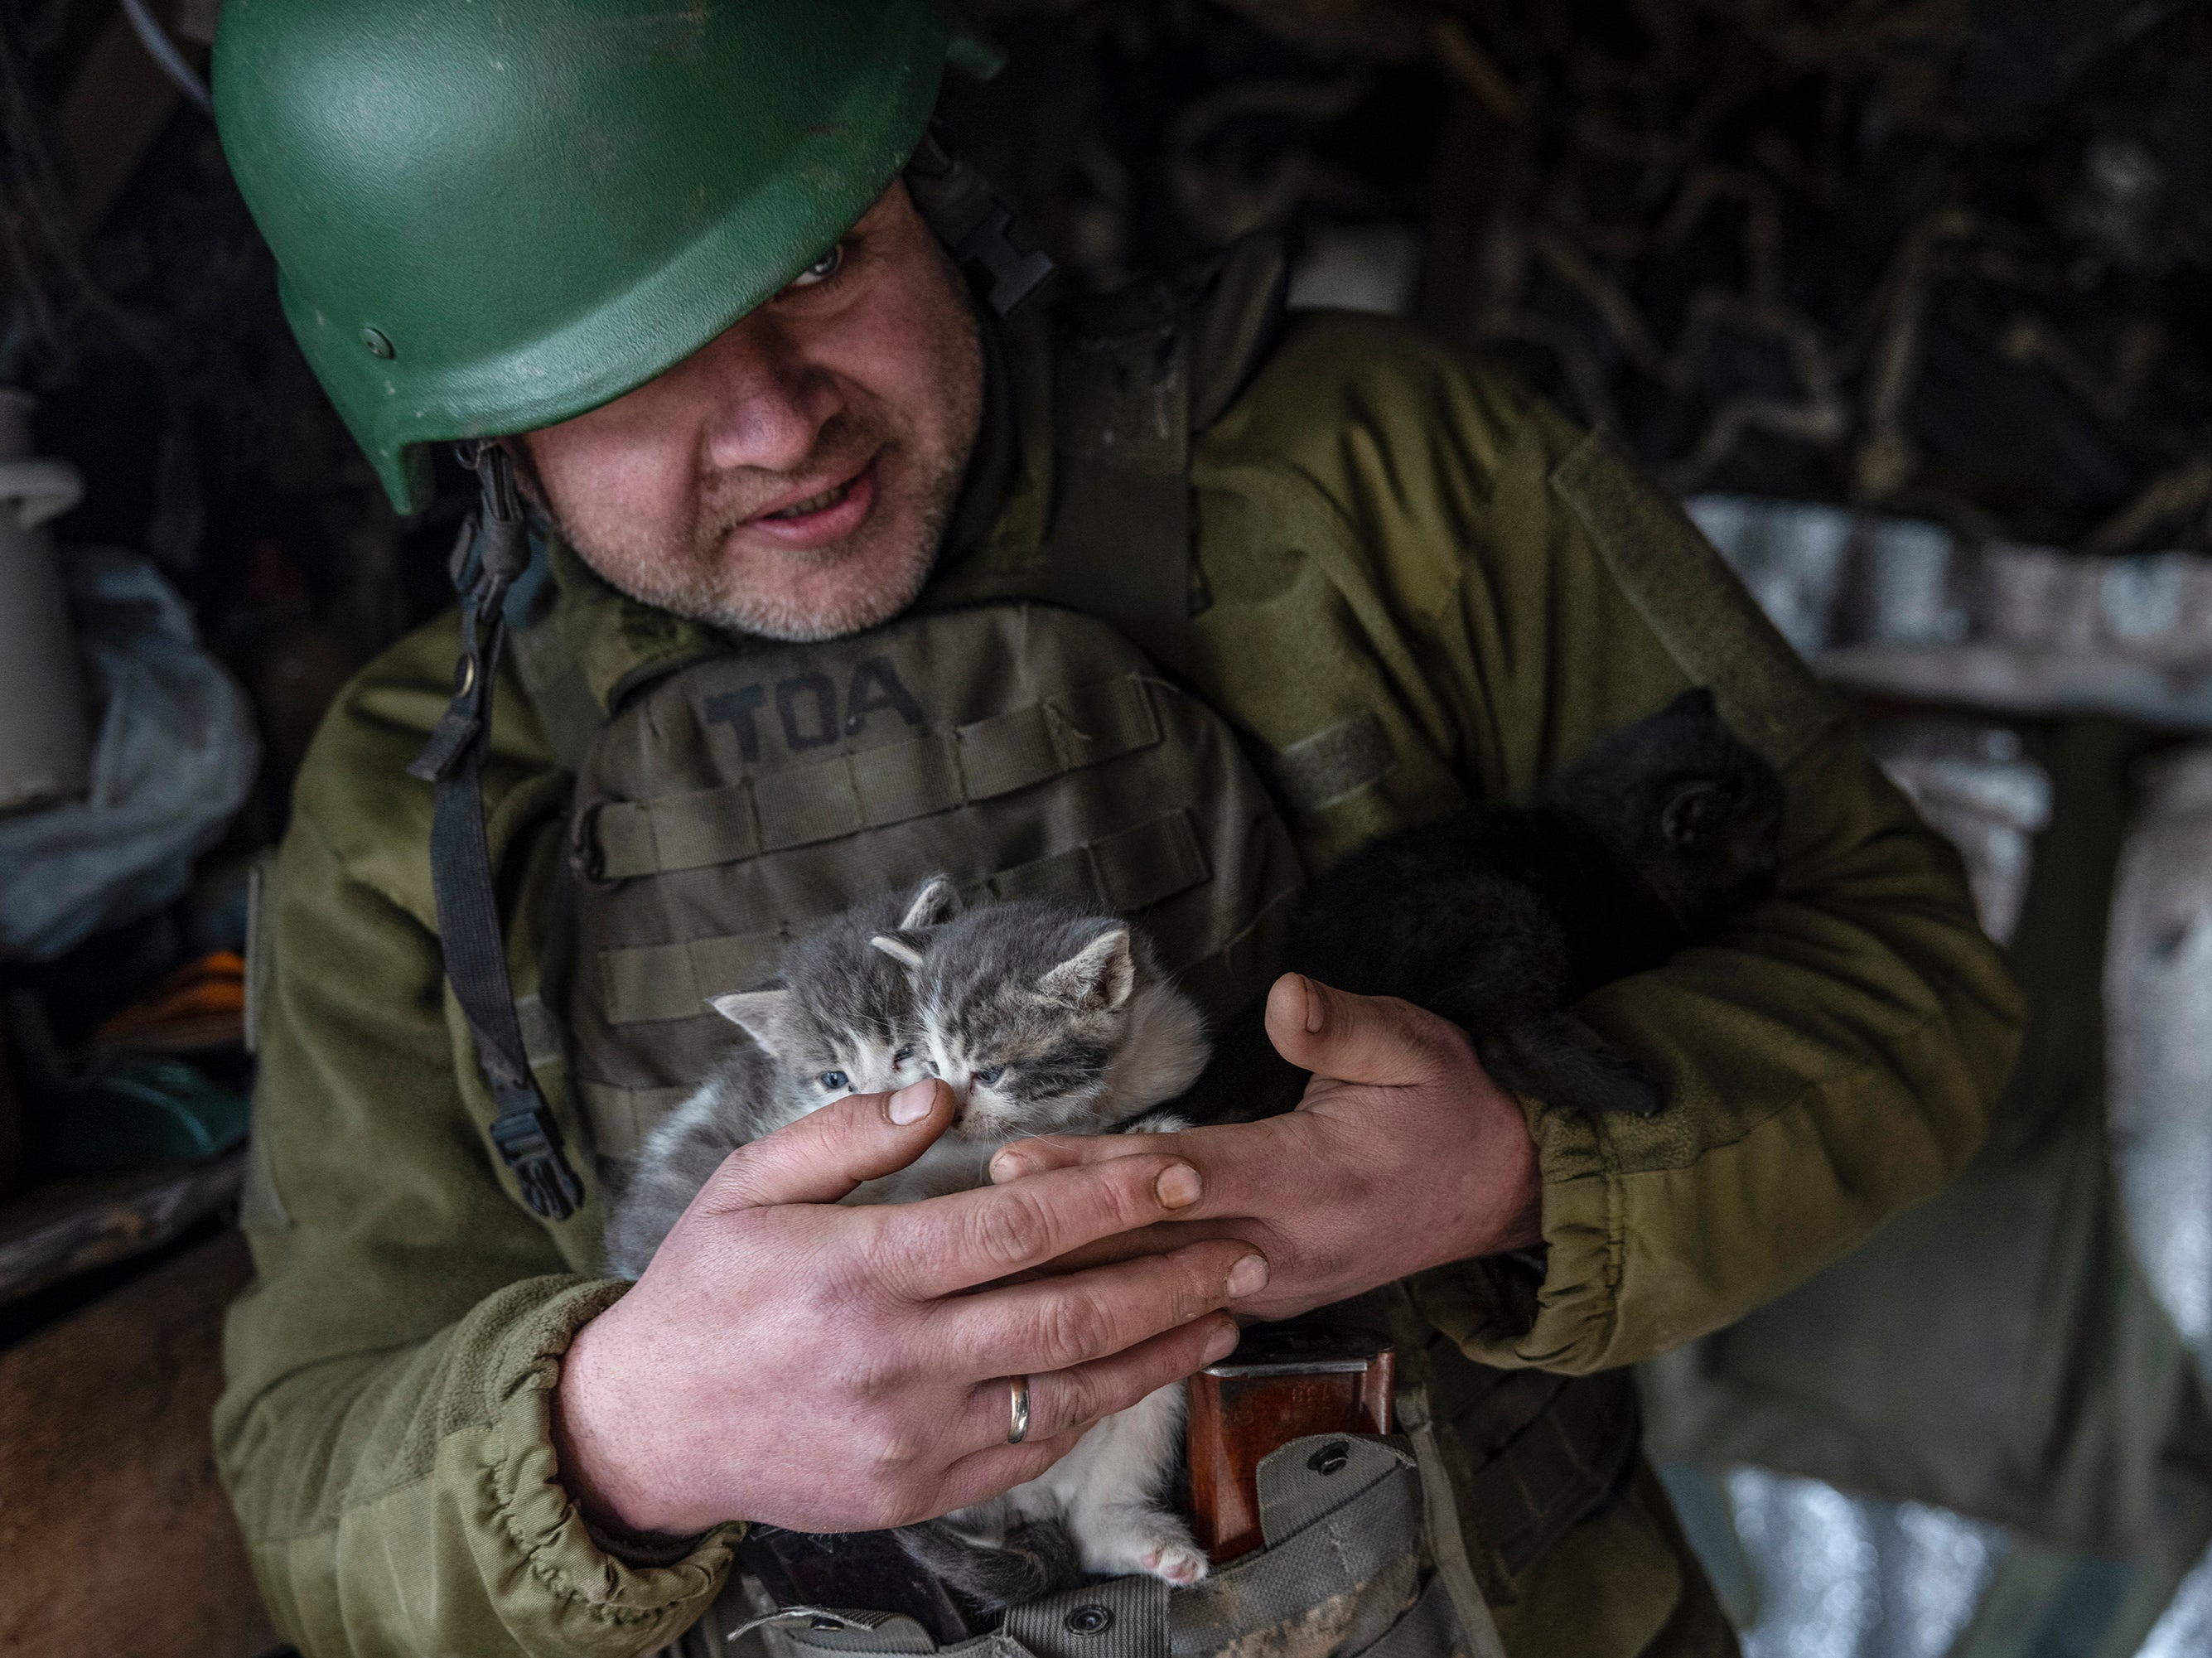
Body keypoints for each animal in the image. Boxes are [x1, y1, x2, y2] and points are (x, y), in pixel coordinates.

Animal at [601, 881, 1212, 1593]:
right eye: (836, 1079)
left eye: (907, 1053)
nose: (896, 1100)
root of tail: (1033, 1498)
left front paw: (1148, 1132)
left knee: (1095, 1519)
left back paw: (1138, 1537)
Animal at [1176, 686, 1778, 1124]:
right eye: (1763, 851)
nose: (1778, 880)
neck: (1603, 830)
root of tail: (1313, 955)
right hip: (1509, 915)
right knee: (1502, 1043)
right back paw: (1632, 1091)